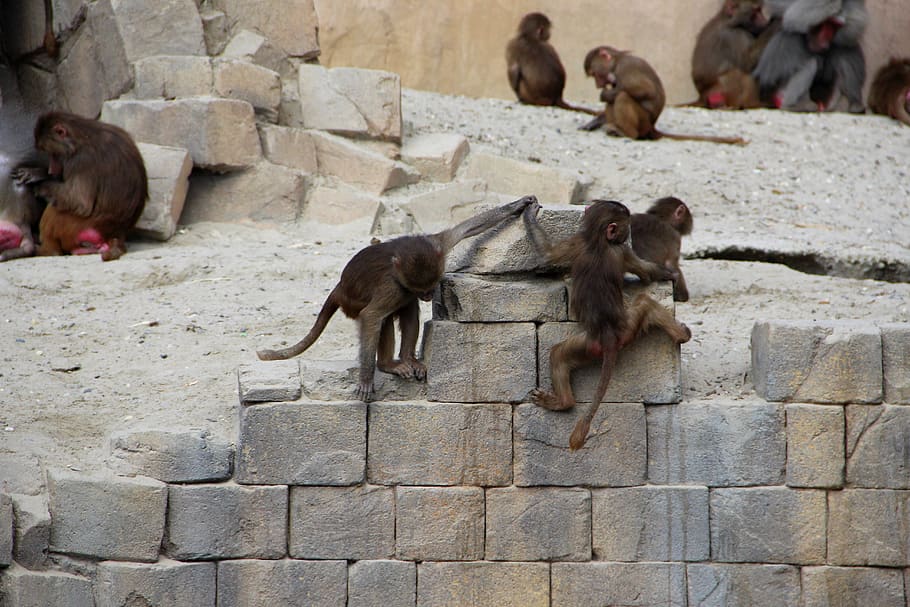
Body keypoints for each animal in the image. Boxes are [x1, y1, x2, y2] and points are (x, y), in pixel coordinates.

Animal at [13, 112, 148, 261]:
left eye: (54, 154)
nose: (51, 170)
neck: (82, 137)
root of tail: (116, 233)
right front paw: (37, 174)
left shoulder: (82, 161)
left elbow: (79, 202)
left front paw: (38, 185)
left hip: (75, 227)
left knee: (56, 209)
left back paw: (47, 250)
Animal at [258, 195, 538, 402]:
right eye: (422, 288)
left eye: (431, 286)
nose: (427, 295)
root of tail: (340, 287)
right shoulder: (393, 287)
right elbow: (372, 315)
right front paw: (366, 377)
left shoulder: (437, 244)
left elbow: (466, 228)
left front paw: (520, 205)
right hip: (354, 303)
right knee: (383, 316)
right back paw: (387, 365)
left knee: (409, 309)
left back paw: (408, 360)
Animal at [522, 199, 691, 450]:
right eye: (626, 225)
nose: (626, 234)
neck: (599, 241)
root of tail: (609, 336)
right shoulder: (620, 251)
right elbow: (648, 273)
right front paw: (668, 275)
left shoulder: (585, 243)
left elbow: (547, 254)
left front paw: (530, 214)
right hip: (624, 329)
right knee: (645, 303)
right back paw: (681, 334)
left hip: (588, 345)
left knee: (558, 355)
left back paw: (563, 402)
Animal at [580, 46, 747, 145]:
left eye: (596, 74)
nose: (598, 85)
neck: (617, 62)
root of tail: (652, 127)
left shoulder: (626, 67)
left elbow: (645, 90)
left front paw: (604, 93)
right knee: (613, 100)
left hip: (643, 123)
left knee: (622, 96)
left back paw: (627, 133)